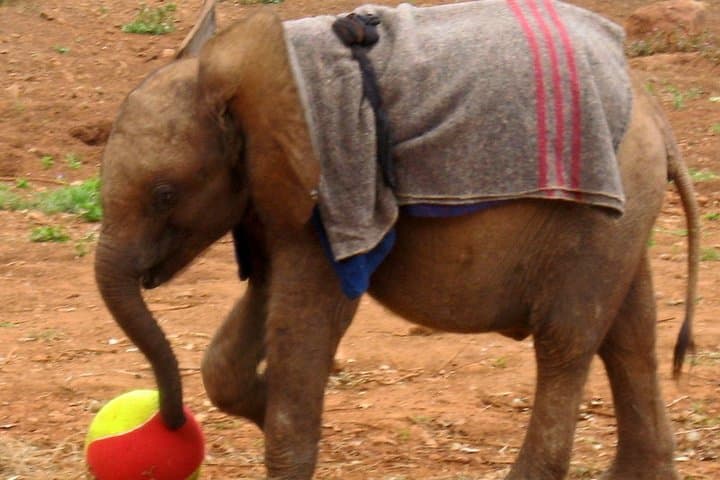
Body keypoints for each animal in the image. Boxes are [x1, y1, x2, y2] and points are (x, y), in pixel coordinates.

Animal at [94, 1, 700, 479]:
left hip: (600, 209)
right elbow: (248, 323)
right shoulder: (276, 194)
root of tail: (655, 113)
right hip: (624, 212)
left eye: (164, 194)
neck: (249, 65)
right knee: (629, 333)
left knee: (566, 341)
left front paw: (276, 422)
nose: (168, 422)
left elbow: (306, 321)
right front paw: (263, 407)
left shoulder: (334, 186)